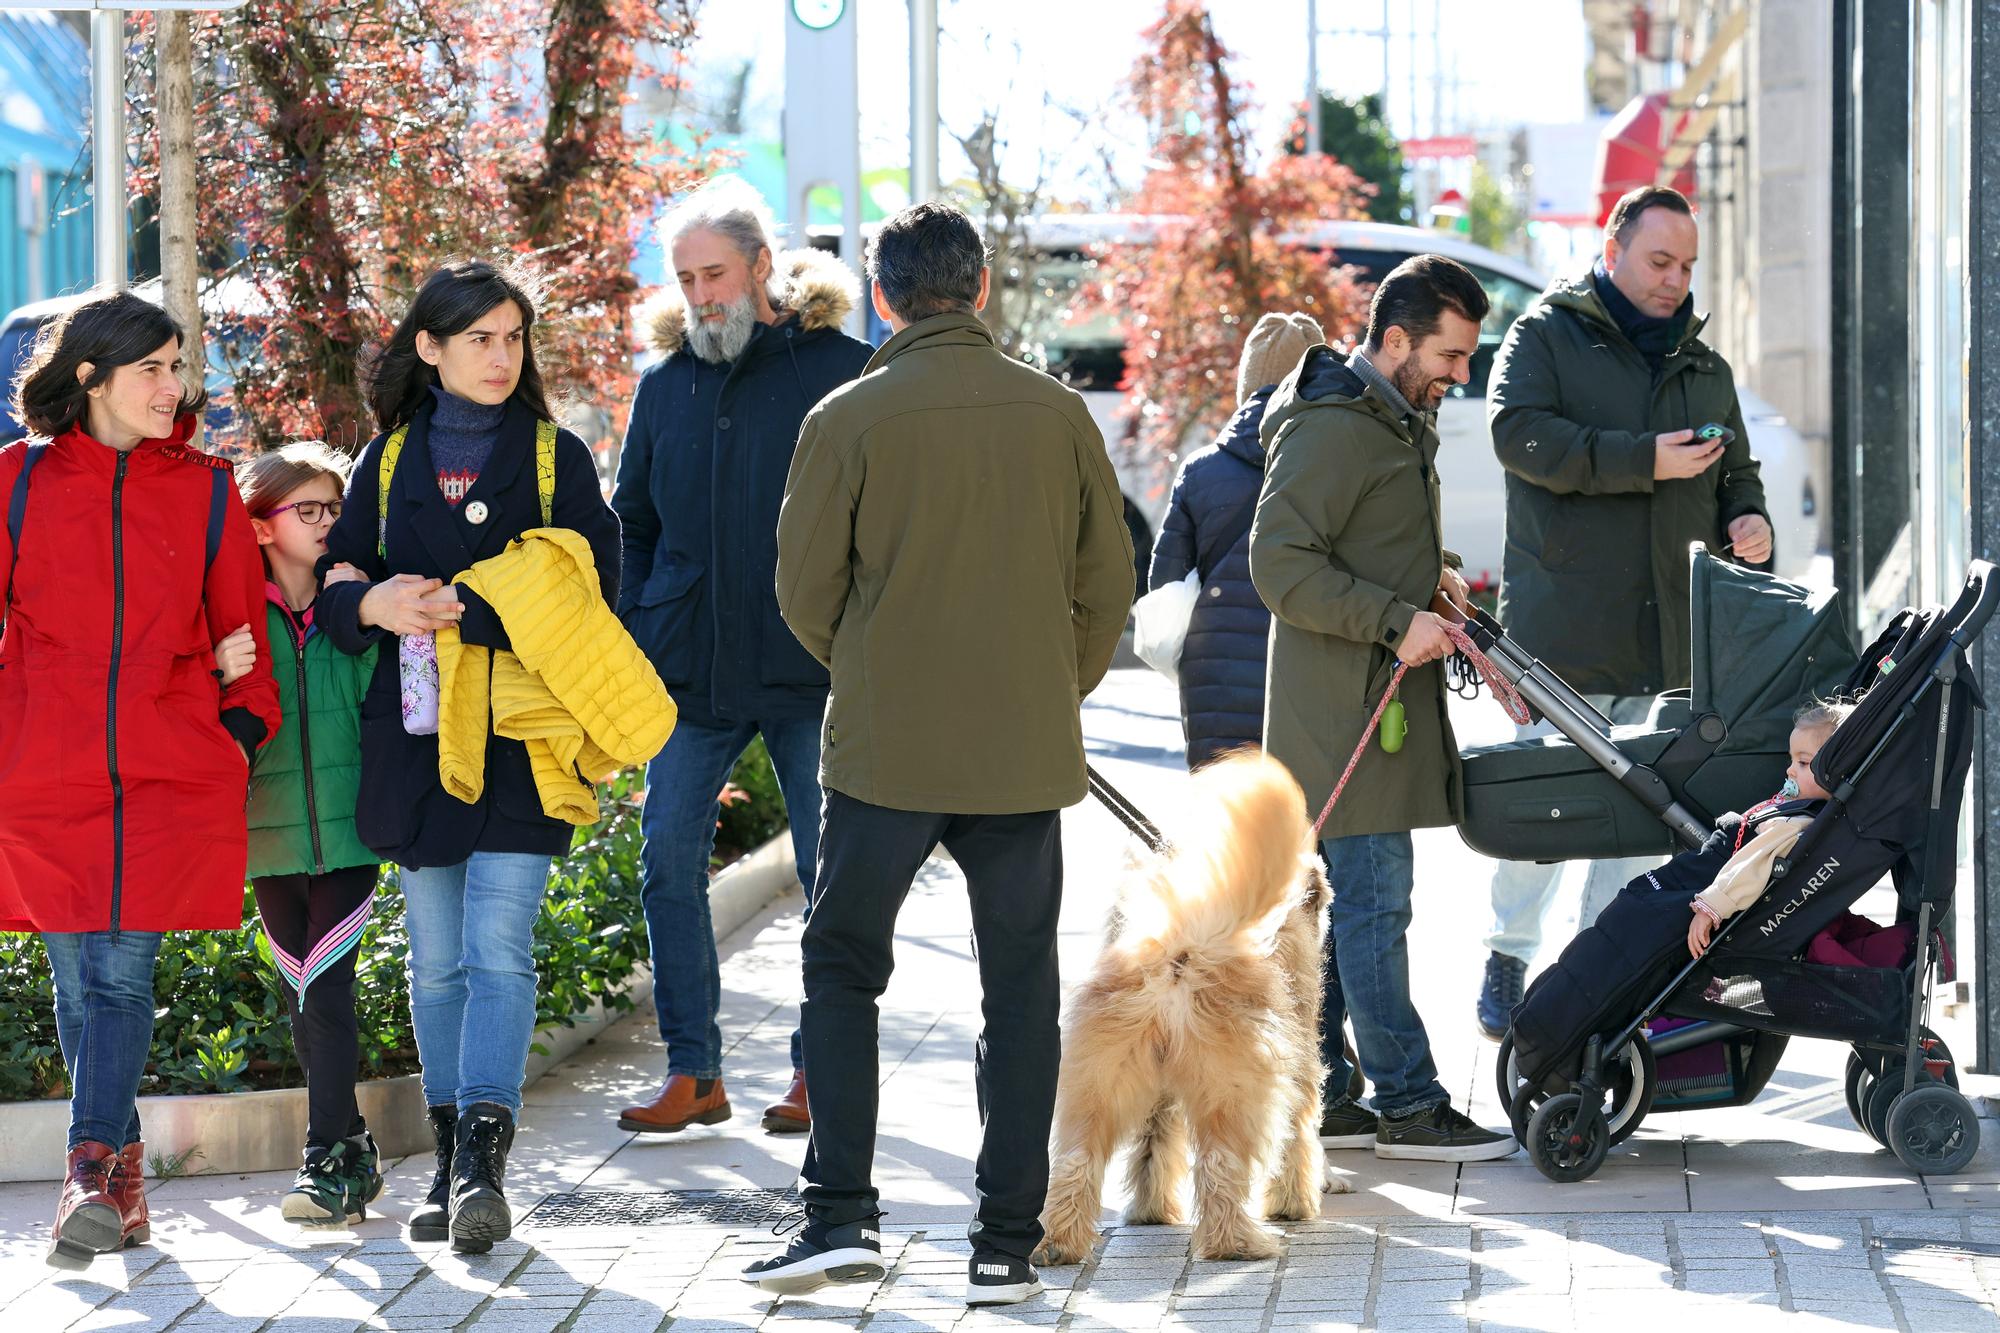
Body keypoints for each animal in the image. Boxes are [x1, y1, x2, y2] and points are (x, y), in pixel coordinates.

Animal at [1040, 748, 1336, 1256]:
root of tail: (1178, 957)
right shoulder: (1299, 1069)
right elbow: (1297, 1138)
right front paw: (1293, 1204)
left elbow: (1151, 1147)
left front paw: (1151, 1211)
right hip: (1235, 1093)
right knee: (1220, 1166)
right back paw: (1235, 1243)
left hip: (1096, 1084)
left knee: (1077, 1161)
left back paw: (1058, 1243)